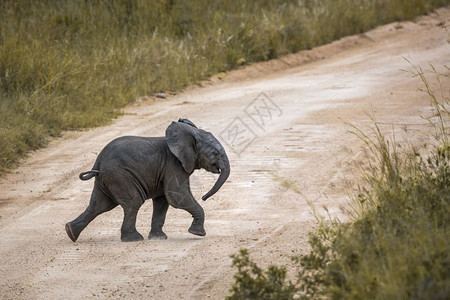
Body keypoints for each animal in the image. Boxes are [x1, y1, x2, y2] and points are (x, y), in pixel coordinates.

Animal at [65, 118, 230, 243]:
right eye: (215, 153)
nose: (204, 197)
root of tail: (98, 162)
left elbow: (162, 201)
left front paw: (159, 238)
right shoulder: (173, 164)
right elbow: (176, 196)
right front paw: (198, 233)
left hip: (108, 178)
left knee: (99, 205)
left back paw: (71, 233)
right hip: (120, 176)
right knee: (132, 202)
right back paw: (134, 239)